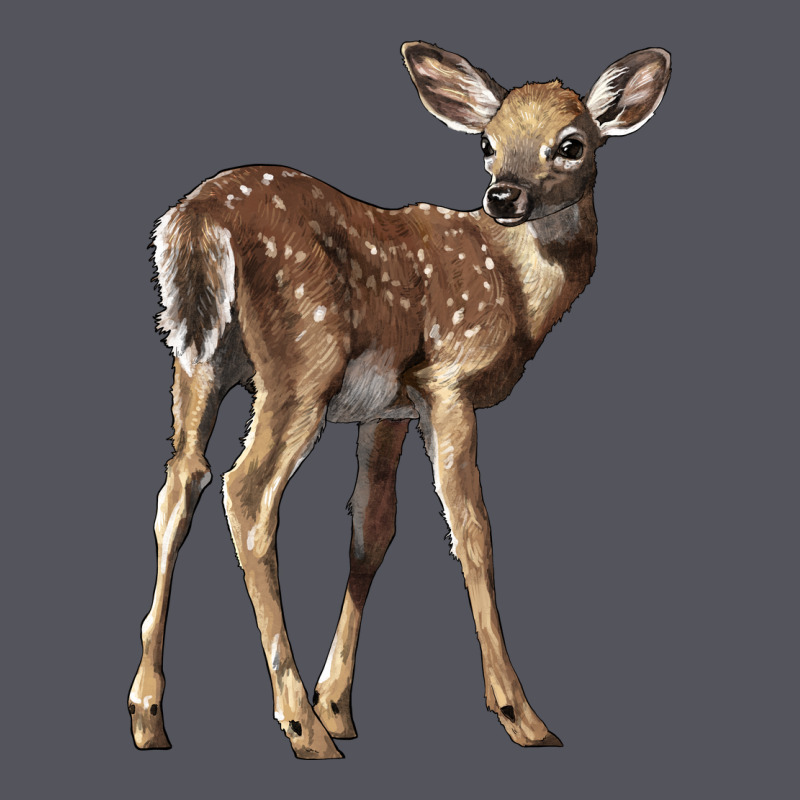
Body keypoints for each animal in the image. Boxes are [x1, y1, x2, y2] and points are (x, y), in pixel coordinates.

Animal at [128, 41, 671, 759]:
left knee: (180, 482)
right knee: (246, 491)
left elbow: (372, 530)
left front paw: (338, 706)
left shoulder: (388, 407)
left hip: (197, 358)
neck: (516, 291)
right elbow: (473, 531)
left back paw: (149, 715)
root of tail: (197, 218)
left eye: (571, 144)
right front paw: (521, 716)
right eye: (487, 143)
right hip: (303, 360)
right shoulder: (448, 379)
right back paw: (300, 729)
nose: (503, 196)